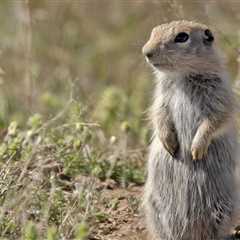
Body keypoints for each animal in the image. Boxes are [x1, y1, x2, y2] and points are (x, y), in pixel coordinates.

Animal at [142, 20, 238, 240]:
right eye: (153, 31)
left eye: (182, 37)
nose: (146, 52)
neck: (182, 76)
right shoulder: (161, 97)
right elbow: (159, 113)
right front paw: (170, 144)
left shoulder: (220, 95)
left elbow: (216, 119)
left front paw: (196, 149)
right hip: (152, 206)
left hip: (226, 207)